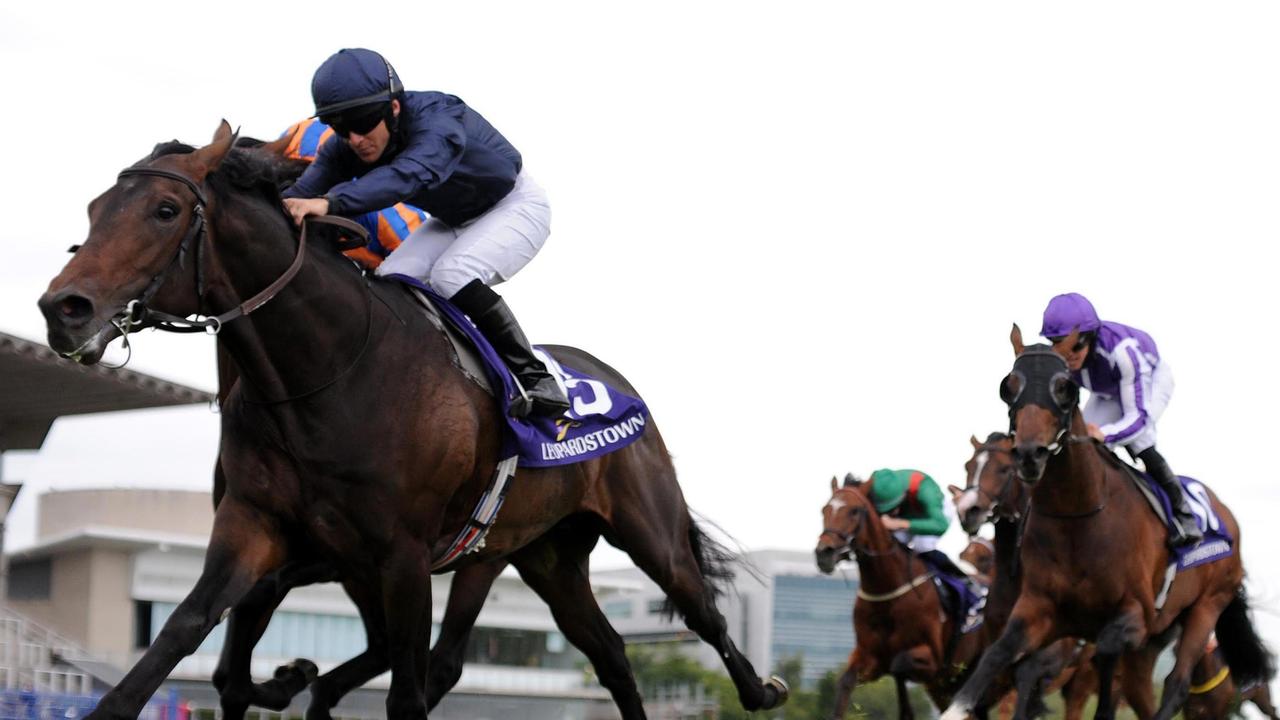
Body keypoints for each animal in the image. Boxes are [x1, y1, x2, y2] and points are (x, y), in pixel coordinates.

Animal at [40, 121, 783, 717]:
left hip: (646, 528)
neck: (324, 373)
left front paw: (296, 677)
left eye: (165, 210)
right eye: (95, 207)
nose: (63, 308)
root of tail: (616, 380)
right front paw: (285, 676)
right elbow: (187, 636)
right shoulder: (262, 528)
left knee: (699, 609)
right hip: (543, 556)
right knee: (609, 655)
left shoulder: (399, 556)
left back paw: (760, 689)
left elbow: (402, 689)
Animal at [814, 474, 983, 712]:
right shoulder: (869, 657)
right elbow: (845, 682)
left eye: (854, 511)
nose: (824, 554)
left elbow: (898, 666)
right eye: (825, 510)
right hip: (943, 685)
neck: (886, 588)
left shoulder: (933, 659)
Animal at [936, 326, 1274, 717]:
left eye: (1066, 387)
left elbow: (1105, 653)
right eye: (1009, 385)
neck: (1078, 520)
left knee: (1175, 684)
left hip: (1206, 605)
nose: (1030, 454)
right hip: (1156, 638)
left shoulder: (1133, 617)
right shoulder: (1038, 611)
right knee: (1141, 690)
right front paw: (956, 708)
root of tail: (1226, 515)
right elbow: (995, 657)